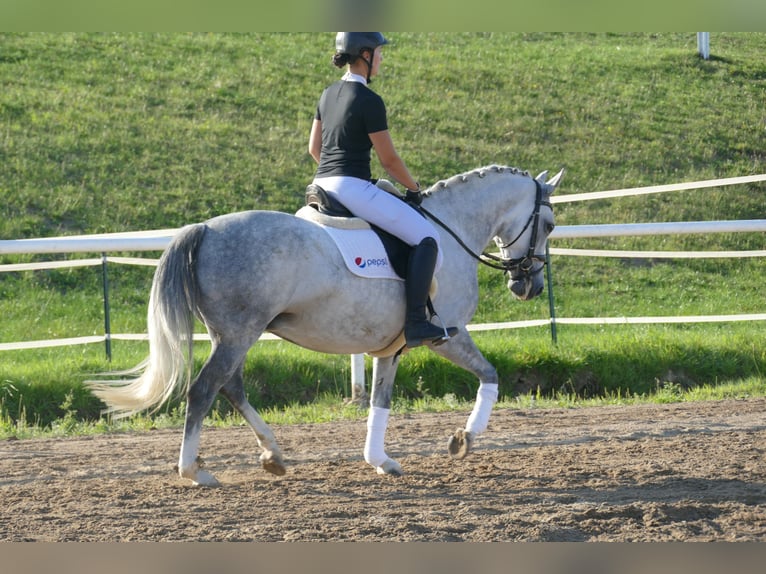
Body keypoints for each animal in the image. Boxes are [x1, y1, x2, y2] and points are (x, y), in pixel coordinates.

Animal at [88, 165, 564, 486]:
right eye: (549, 224)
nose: (529, 285)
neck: (451, 230)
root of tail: (204, 228)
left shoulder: (391, 347)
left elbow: (380, 400)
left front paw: (380, 460)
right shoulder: (448, 335)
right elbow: (490, 375)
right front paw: (465, 438)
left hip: (232, 334)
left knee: (231, 387)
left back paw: (273, 455)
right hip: (239, 333)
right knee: (205, 390)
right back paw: (194, 471)